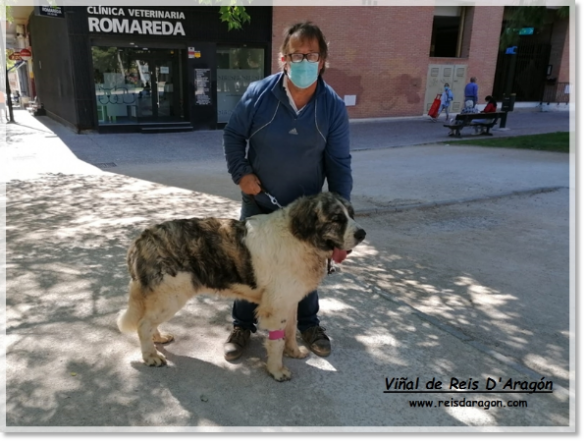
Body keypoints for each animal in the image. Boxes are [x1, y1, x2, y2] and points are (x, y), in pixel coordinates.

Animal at [117, 193, 364, 384]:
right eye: (336, 218)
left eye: (351, 215)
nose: (362, 234)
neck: (300, 238)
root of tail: (141, 238)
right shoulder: (275, 307)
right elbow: (276, 340)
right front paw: (277, 370)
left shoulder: (290, 300)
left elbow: (291, 330)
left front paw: (293, 351)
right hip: (172, 295)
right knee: (143, 324)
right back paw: (151, 356)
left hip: (163, 297)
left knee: (148, 321)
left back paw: (158, 339)